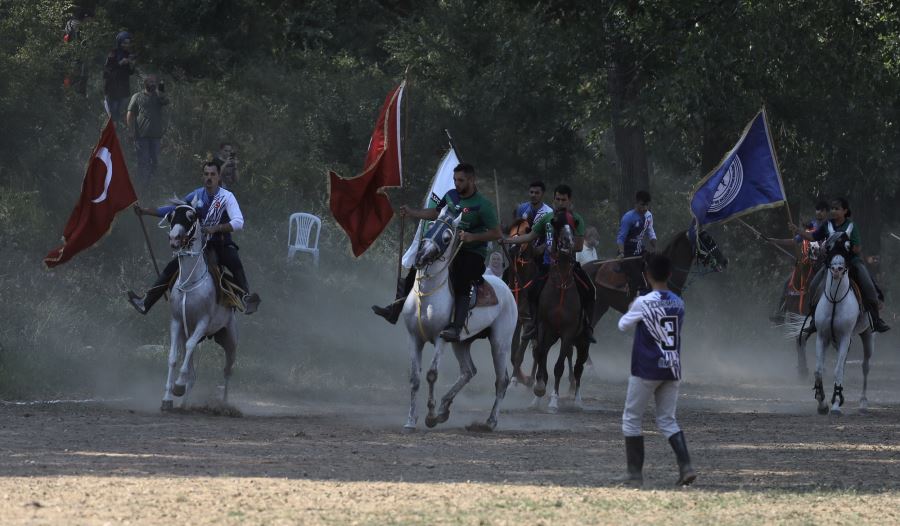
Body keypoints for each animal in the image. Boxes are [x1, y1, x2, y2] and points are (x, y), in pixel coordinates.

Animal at [161, 203, 239, 412]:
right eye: (171, 216)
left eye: (191, 217)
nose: (174, 239)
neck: (190, 284)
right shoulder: (176, 322)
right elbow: (173, 357)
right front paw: (168, 399)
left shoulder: (203, 323)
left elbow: (188, 348)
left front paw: (178, 386)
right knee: (193, 373)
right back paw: (184, 403)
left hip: (229, 336)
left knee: (228, 369)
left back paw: (225, 405)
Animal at [400, 206, 512, 434]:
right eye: (430, 226)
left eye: (446, 237)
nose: (420, 257)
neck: (426, 297)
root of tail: (505, 286)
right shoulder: (414, 338)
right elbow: (415, 378)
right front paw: (411, 421)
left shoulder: (440, 339)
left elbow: (432, 374)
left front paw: (430, 416)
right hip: (461, 342)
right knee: (469, 371)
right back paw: (444, 408)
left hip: (500, 343)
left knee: (502, 380)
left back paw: (489, 422)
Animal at [808, 254, 872, 418]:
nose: (837, 269)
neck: (835, 300)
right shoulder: (822, 337)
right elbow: (818, 370)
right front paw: (822, 404)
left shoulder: (844, 338)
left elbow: (837, 370)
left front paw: (836, 405)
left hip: (868, 335)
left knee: (865, 366)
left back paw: (863, 403)